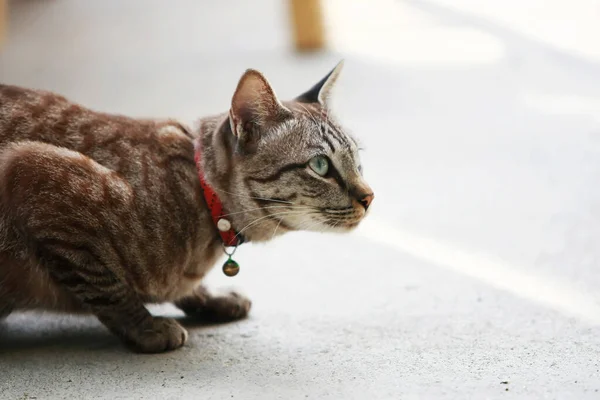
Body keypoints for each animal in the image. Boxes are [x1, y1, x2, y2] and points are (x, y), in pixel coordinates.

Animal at [0, 61, 372, 352]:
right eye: (321, 166)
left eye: (357, 161)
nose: (370, 197)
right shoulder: (32, 171)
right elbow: (107, 288)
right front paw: (147, 327)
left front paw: (210, 298)